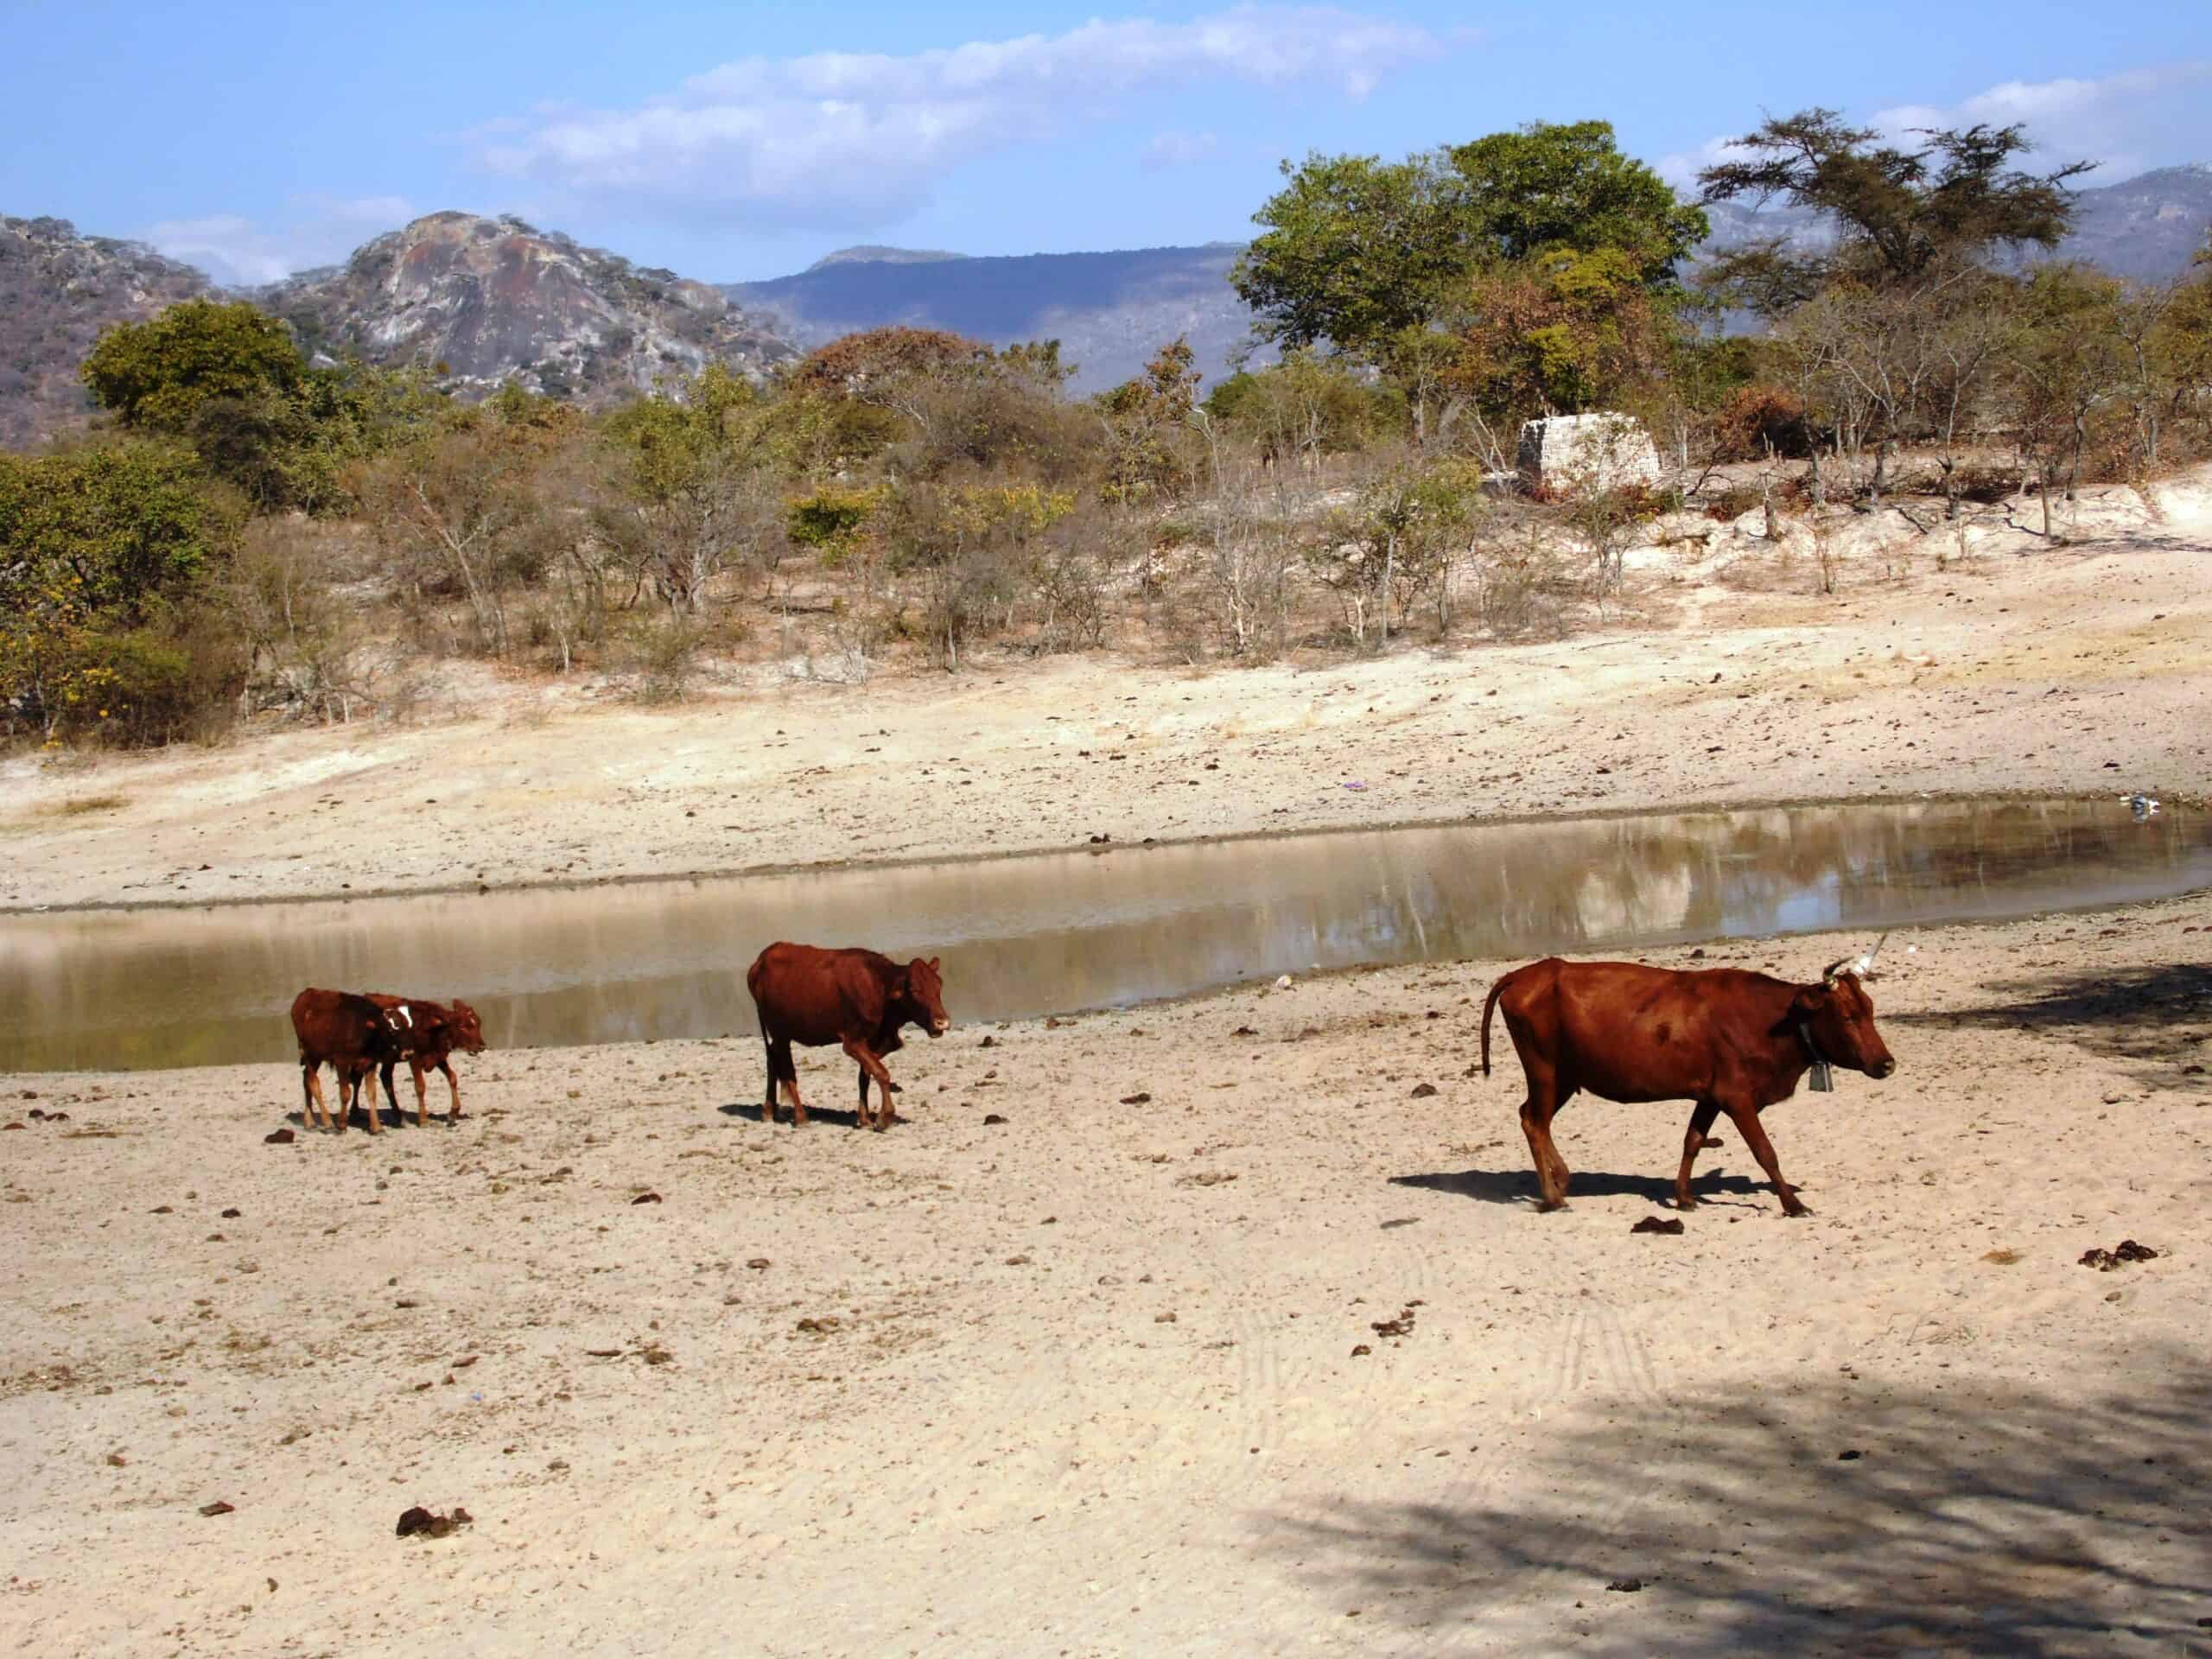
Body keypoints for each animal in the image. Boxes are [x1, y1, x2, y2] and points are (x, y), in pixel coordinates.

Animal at [289, 988, 403, 1135]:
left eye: (398, 1032)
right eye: (386, 1032)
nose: (402, 1052)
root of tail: (307, 993)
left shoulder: (370, 1064)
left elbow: (371, 1094)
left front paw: (376, 1127)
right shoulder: (341, 1062)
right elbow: (345, 1094)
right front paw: (342, 1124)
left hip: (316, 1057)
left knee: (306, 1079)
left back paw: (309, 1122)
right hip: (309, 1054)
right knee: (312, 1082)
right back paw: (328, 1123)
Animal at [363, 994, 487, 1127]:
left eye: (479, 1024)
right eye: (463, 1027)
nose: (481, 1046)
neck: (431, 1028)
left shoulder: (438, 1057)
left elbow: (452, 1078)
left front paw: (453, 1113)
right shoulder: (414, 1059)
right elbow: (420, 1087)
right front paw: (423, 1119)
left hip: (389, 1059)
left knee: (386, 1077)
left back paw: (400, 1118)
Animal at [745, 944, 949, 1130]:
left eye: (939, 985)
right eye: (915, 989)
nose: (943, 1022)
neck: (879, 986)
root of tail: (762, 959)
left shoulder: (873, 1041)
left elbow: (865, 1077)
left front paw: (865, 1119)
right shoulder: (853, 1042)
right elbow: (882, 1073)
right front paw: (885, 1117)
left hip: (781, 1035)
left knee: (772, 1062)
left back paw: (769, 1111)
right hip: (780, 1032)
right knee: (787, 1070)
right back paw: (801, 1117)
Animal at [1478, 953, 1897, 1216]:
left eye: (1870, 1010)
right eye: (1847, 1016)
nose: (1887, 1063)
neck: (1768, 1020)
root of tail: (1530, 972)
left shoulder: (1710, 1095)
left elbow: (1693, 1141)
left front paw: (1683, 1197)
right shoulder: (1736, 1096)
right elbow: (1765, 1152)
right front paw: (1792, 1204)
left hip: (1565, 1076)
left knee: (1533, 1118)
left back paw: (1562, 1180)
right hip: (1544, 1070)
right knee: (1535, 1122)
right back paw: (1553, 1196)